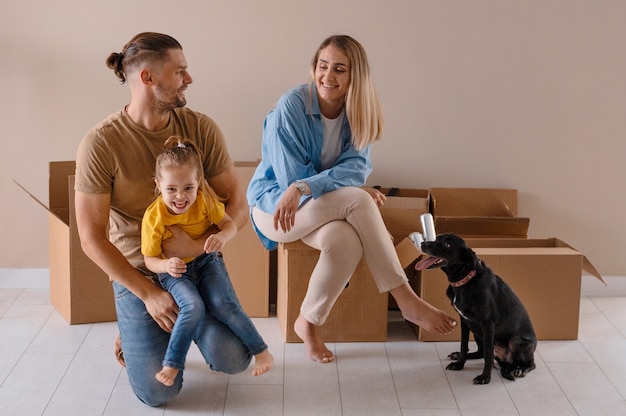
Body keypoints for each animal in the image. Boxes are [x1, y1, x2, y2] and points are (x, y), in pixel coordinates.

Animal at [414, 232, 536, 386]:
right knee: (480, 352)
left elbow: (488, 356)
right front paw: (460, 363)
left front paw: (485, 377)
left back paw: (521, 369)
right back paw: (458, 355)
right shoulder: (464, 321)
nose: (423, 244)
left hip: (514, 341)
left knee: (530, 363)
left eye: (447, 245)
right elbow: (464, 345)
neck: (465, 281)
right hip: (476, 332)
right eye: (436, 238)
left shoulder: (488, 323)